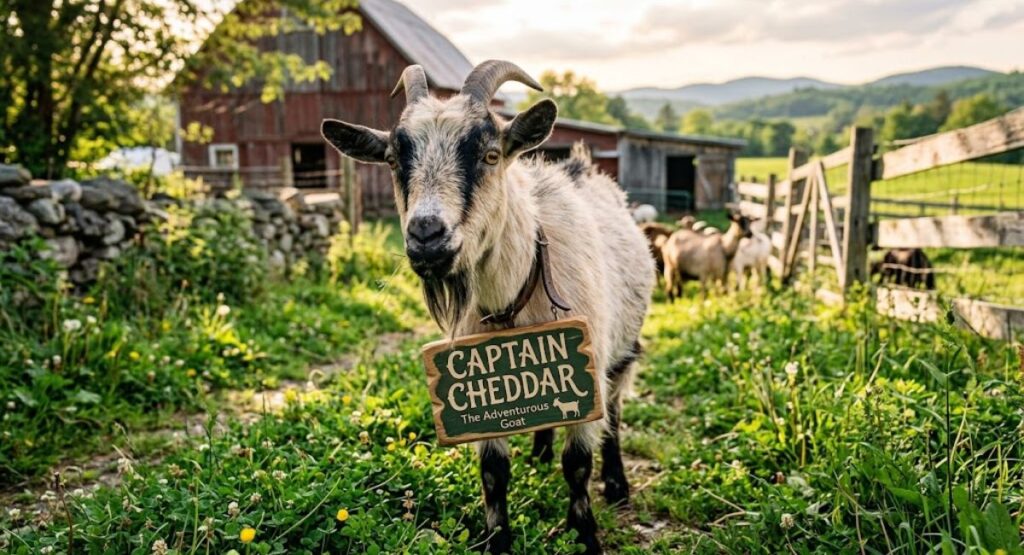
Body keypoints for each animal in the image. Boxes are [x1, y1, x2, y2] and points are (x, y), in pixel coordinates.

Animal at [322, 61, 653, 555]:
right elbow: (494, 473)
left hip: (623, 350)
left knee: (613, 414)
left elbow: (577, 462)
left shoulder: (585, 367)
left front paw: (586, 536)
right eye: (393, 160)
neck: (512, 299)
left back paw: (616, 484)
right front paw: (498, 539)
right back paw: (540, 451)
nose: (426, 234)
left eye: (491, 155)